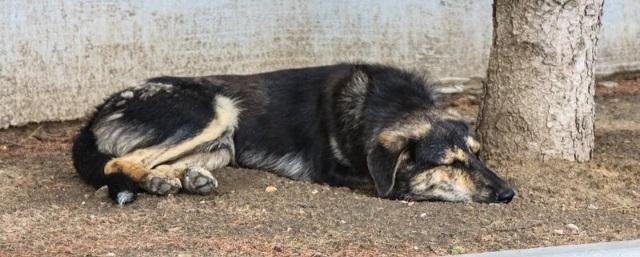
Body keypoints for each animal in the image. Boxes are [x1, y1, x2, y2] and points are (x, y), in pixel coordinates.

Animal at [72, 63, 516, 204]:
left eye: (478, 155)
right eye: (451, 163)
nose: (509, 194)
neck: (390, 103)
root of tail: (97, 112)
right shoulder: (336, 172)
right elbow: (396, 185)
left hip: (224, 141)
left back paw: (182, 178)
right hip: (214, 107)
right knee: (119, 161)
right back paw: (158, 181)